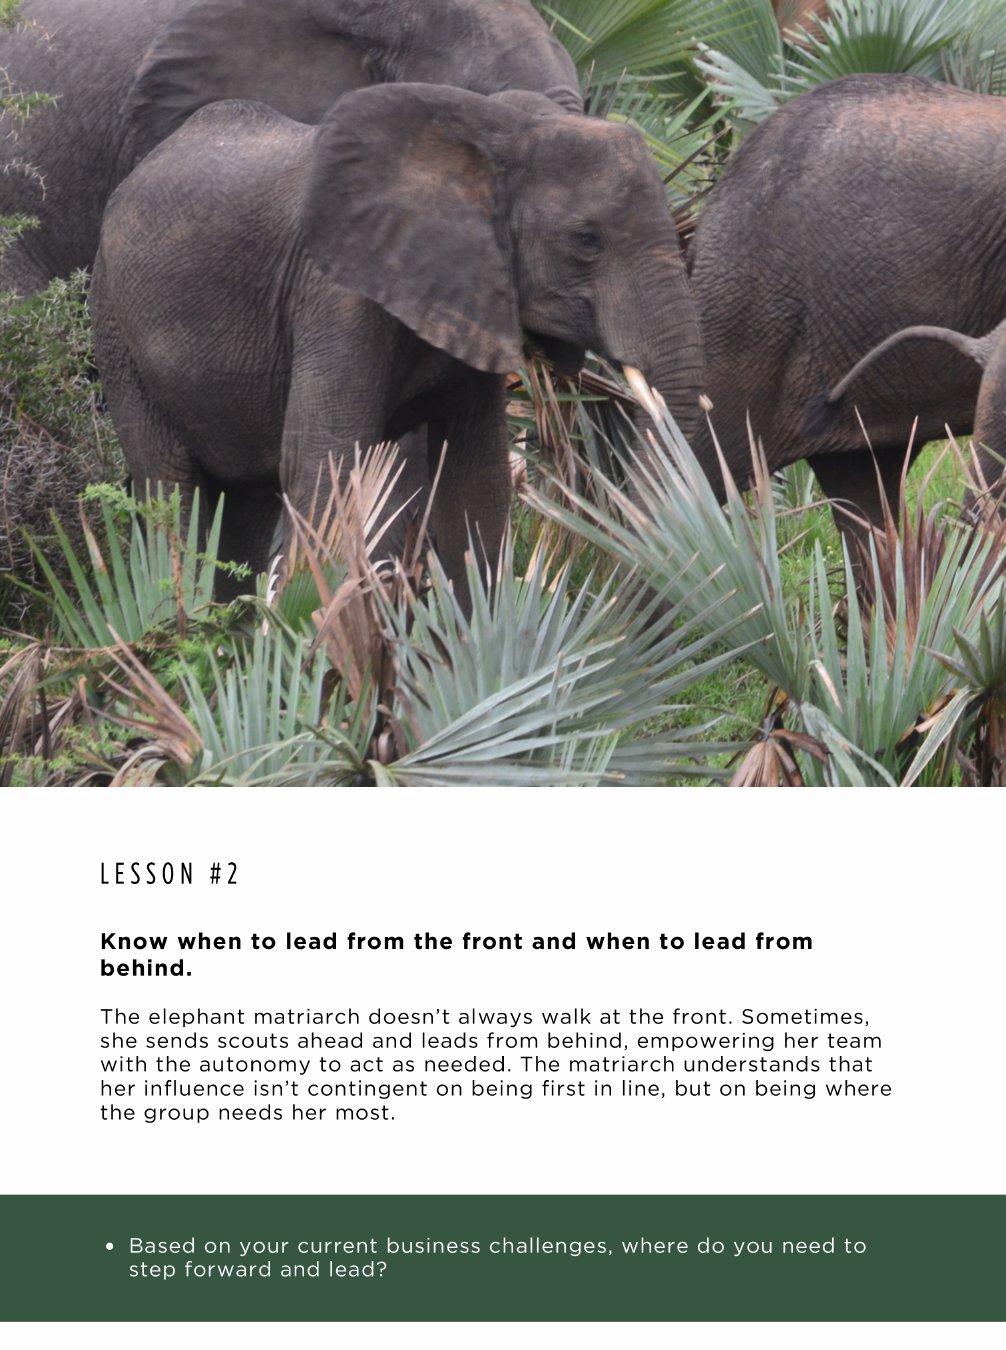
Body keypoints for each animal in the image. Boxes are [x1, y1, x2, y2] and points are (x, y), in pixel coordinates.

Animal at [88, 83, 703, 604]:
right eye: (586, 240)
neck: (497, 135)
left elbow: (475, 478)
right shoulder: (333, 293)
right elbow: (325, 462)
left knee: (245, 505)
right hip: (114, 323)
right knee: (169, 484)